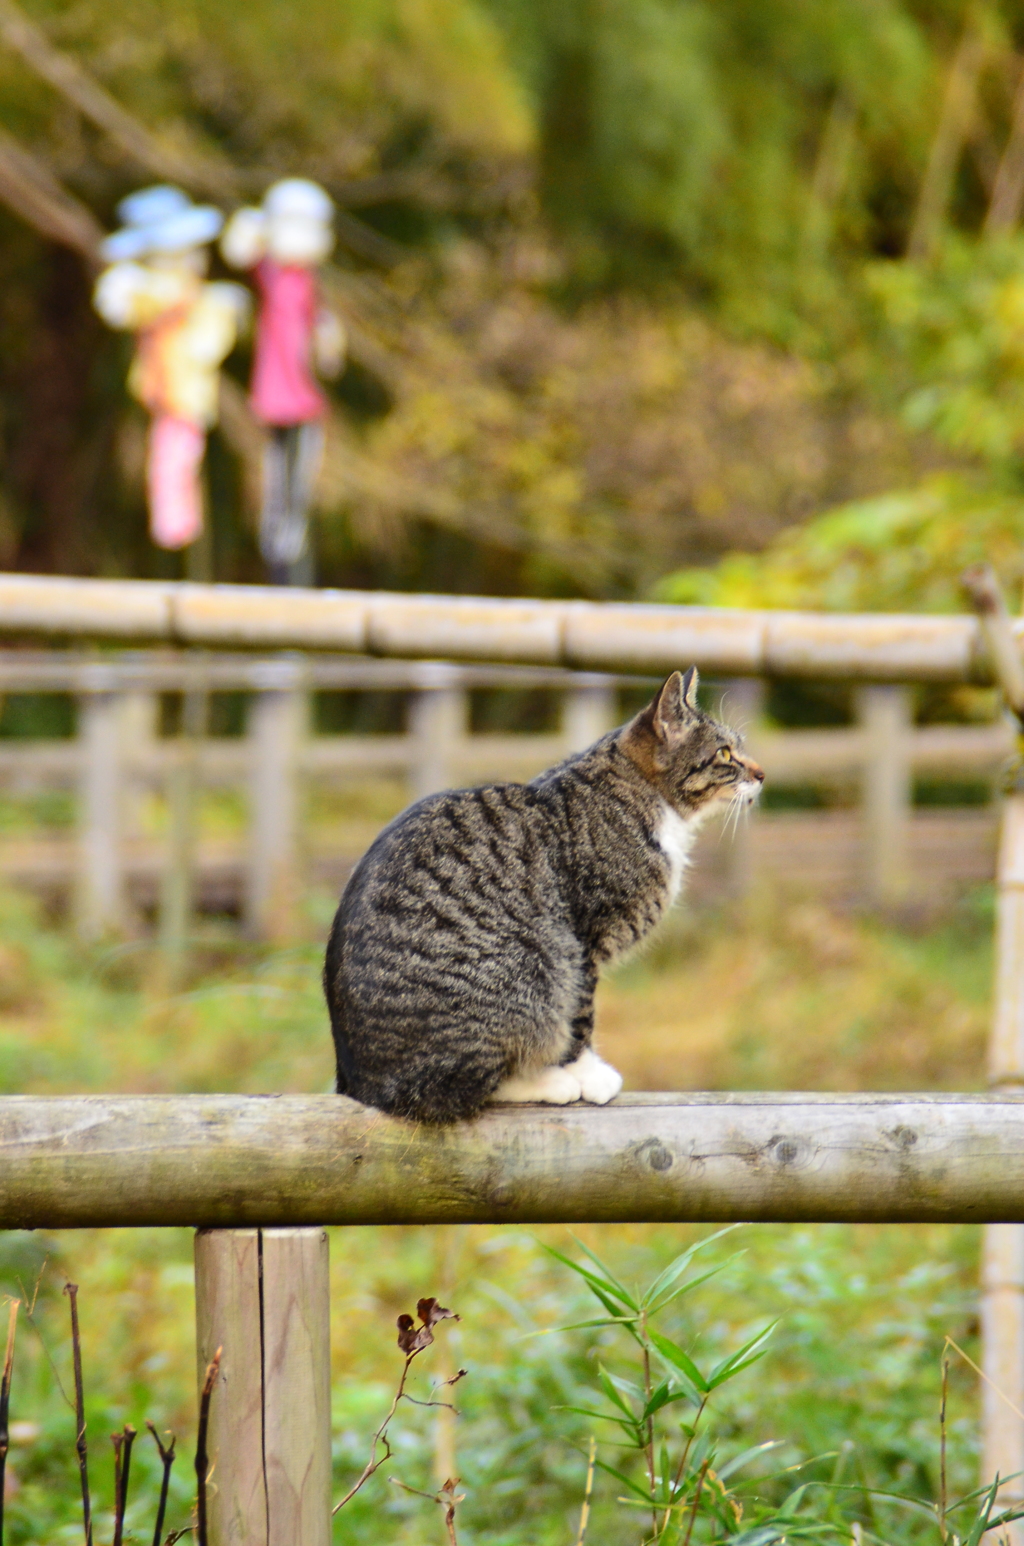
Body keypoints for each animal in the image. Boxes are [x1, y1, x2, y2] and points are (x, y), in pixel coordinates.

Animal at [324, 664, 767, 1125]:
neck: (638, 796)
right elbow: (580, 1017)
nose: (761, 774)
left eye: (738, 749)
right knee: (464, 1089)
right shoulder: (582, 939)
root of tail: (363, 1087)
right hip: (532, 964)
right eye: (724, 754)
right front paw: (586, 1074)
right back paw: (549, 1082)